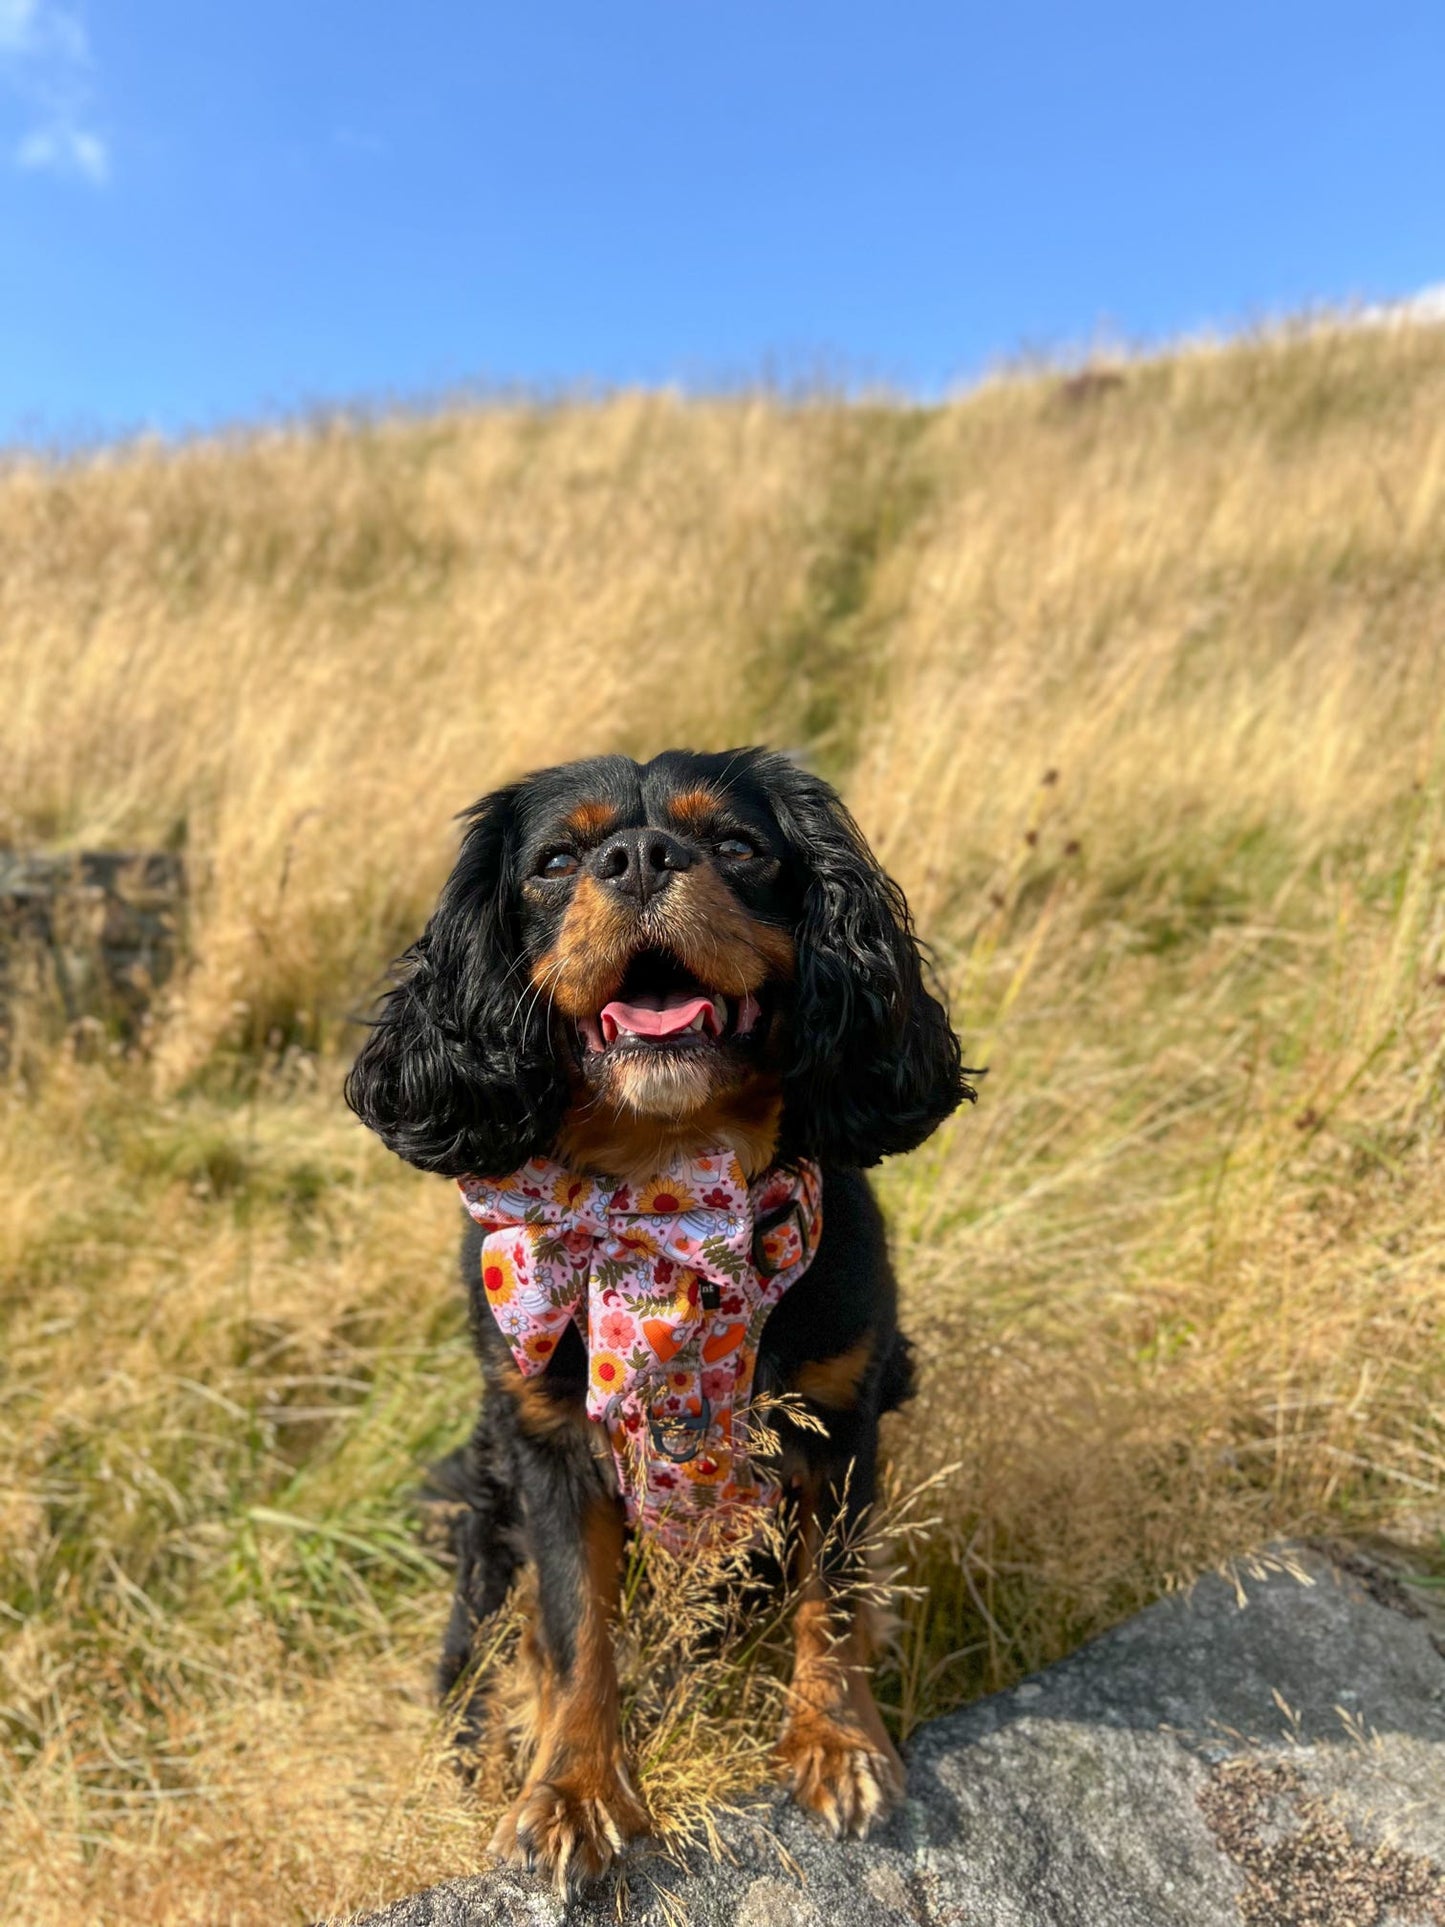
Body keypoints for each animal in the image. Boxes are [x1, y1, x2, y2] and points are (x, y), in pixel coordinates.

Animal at [344, 747, 974, 1880]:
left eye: (734, 842)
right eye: (556, 861)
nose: (638, 856)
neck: (667, 1193)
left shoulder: (839, 1421)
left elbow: (833, 1595)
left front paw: (836, 1741)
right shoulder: (551, 1449)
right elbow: (575, 1627)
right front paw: (573, 1790)